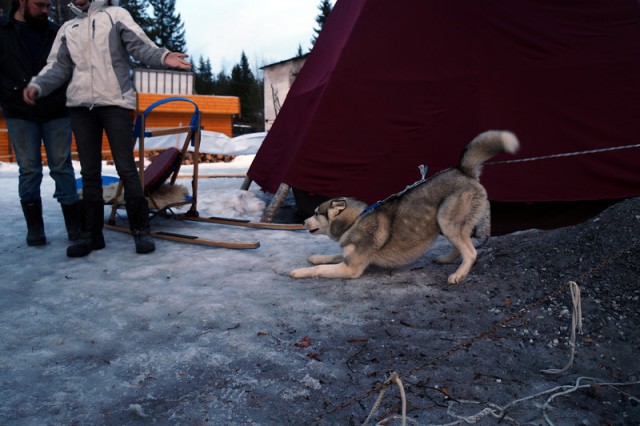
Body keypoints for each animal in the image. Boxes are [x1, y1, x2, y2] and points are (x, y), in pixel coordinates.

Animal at [292, 130, 520, 282]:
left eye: (315, 213)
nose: (302, 221)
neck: (355, 221)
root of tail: (462, 171)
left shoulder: (352, 268)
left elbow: (320, 269)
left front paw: (298, 271)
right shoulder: (349, 257)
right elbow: (329, 256)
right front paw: (316, 257)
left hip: (446, 219)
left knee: (470, 252)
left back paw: (458, 274)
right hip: (446, 223)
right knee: (461, 246)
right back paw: (446, 260)